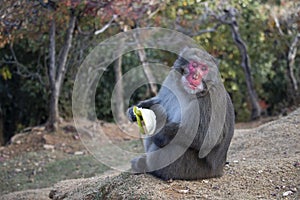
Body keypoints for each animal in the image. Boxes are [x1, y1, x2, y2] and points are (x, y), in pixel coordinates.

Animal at [126, 47, 234, 180]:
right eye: (194, 65)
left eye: (204, 68)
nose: (195, 76)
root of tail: (218, 170)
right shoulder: (171, 79)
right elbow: (161, 101)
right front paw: (135, 111)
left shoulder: (210, 99)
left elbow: (209, 137)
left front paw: (159, 134)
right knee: (159, 109)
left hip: (193, 170)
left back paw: (147, 166)